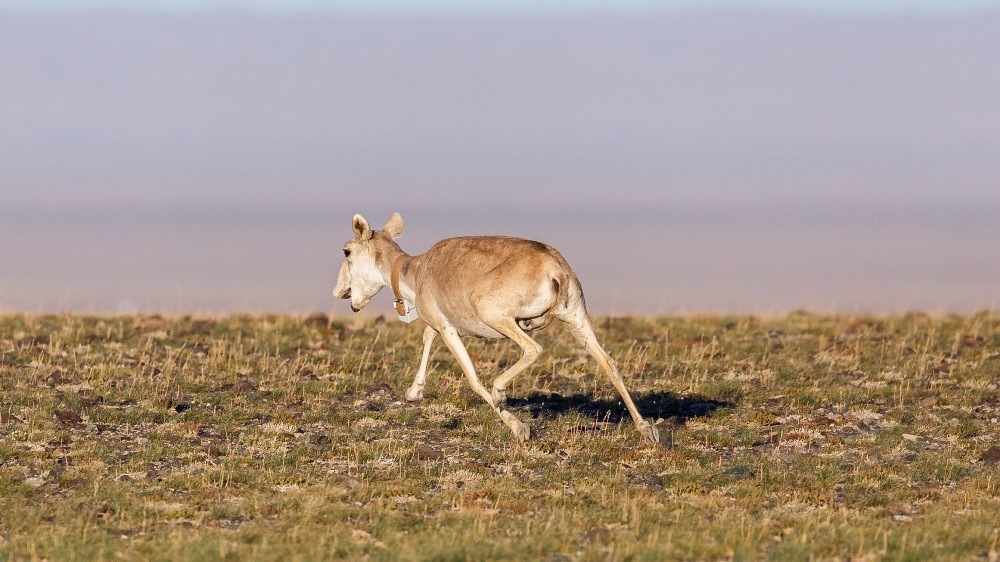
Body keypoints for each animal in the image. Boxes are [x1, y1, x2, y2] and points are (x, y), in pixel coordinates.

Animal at [332, 212, 660, 444]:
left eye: (346, 251)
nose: (339, 292)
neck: (415, 270)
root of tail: (554, 268)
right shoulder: (442, 324)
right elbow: (426, 336)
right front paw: (414, 393)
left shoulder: (449, 330)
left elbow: (473, 378)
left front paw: (519, 427)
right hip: (577, 318)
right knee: (609, 363)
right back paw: (647, 430)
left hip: (501, 318)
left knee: (533, 349)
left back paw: (501, 393)